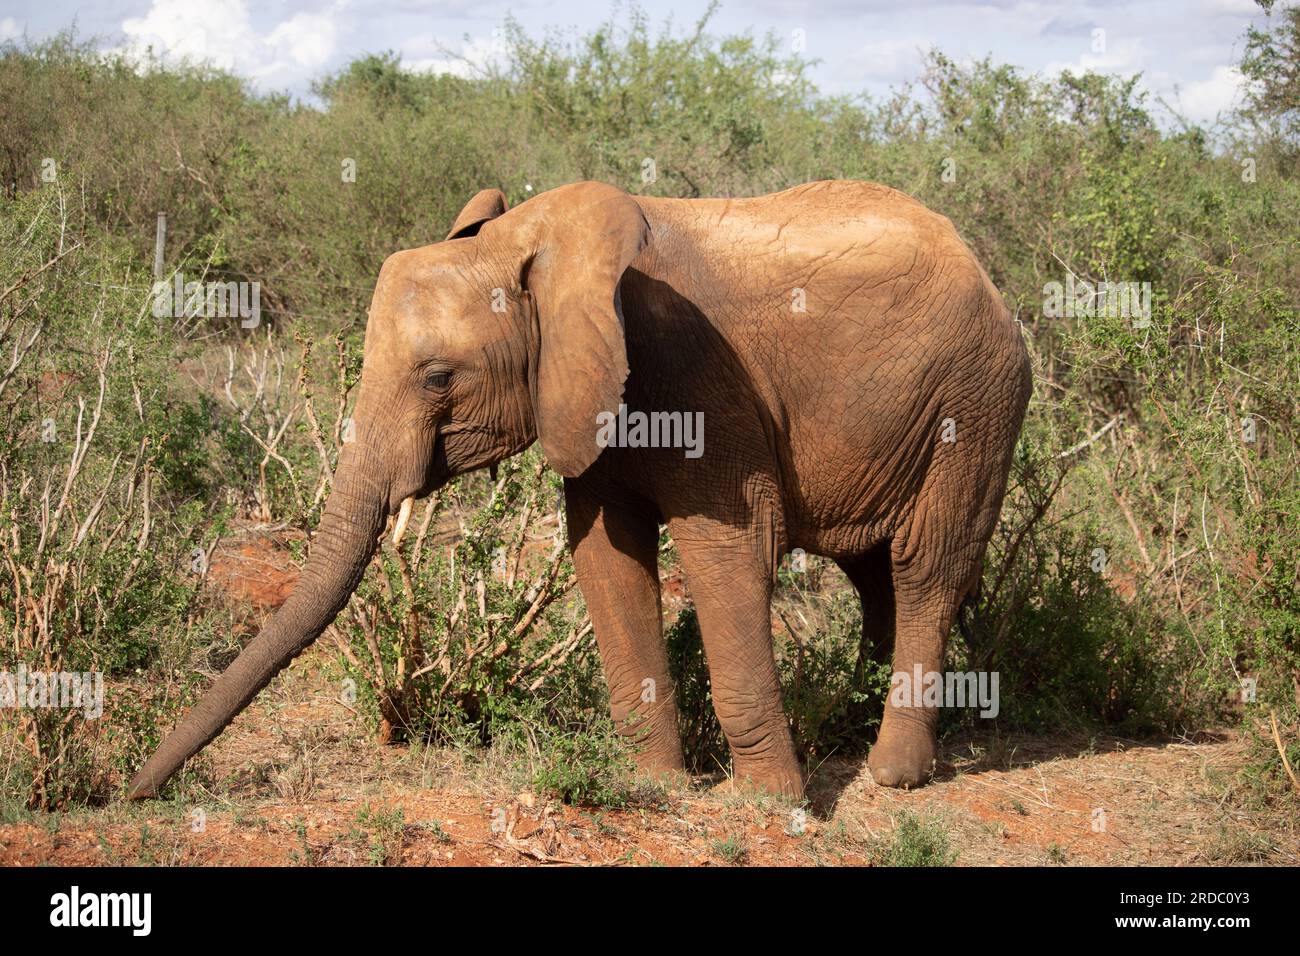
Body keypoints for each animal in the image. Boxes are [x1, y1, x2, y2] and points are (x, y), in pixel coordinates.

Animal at [126, 178, 1029, 801]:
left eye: (437, 377)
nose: (128, 792)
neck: (538, 243)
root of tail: (986, 273)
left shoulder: (700, 377)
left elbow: (729, 553)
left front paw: (771, 804)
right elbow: (606, 553)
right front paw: (657, 787)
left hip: (974, 401)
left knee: (925, 565)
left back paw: (890, 775)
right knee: (872, 569)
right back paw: (848, 728)